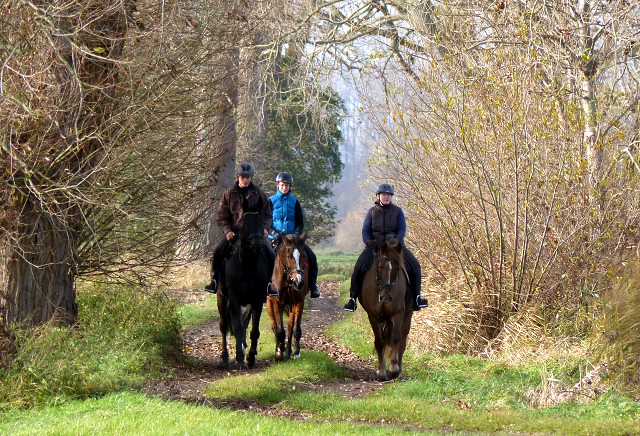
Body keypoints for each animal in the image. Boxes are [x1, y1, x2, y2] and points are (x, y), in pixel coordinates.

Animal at [218, 197, 272, 368]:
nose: (256, 242)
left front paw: (251, 357)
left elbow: (253, 330)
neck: (248, 265)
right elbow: (237, 328)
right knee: (223, 325)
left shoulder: (257, 299)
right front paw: (240, 357)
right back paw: (225, 356)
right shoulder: (234, 298)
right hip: (221, 297)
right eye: (245, 221)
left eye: (262, 221)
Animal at [360, 240, 410, 380]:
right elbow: (379, 342)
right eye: (380, 267)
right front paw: (381, 371)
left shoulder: (398, 313)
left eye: (397, 268)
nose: (385, 298)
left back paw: (399, 370)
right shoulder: (373, 315)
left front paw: (393, 368)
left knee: (402, 340)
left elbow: (396, 338)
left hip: (408, 314)